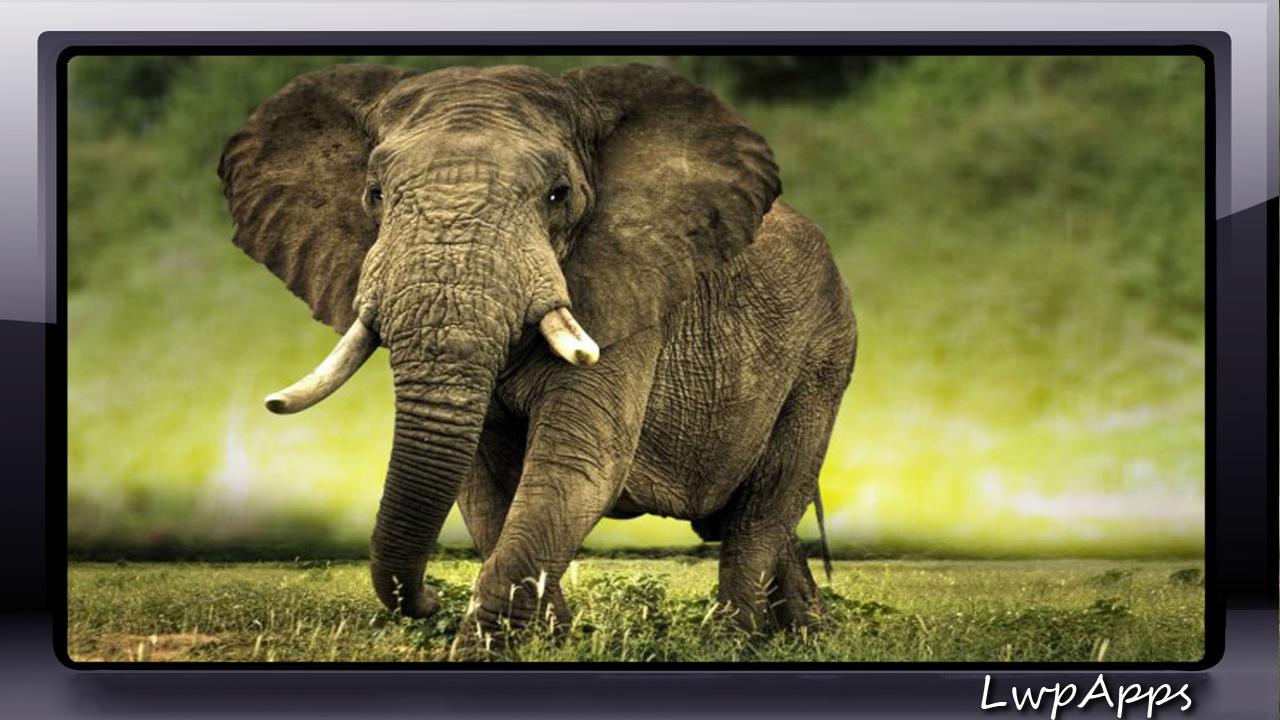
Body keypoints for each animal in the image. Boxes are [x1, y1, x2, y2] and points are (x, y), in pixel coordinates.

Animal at [218, 62, 857, 651]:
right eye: (374, 195)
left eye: (559, 195)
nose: (426, 601)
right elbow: (483, 486)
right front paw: (553, 640)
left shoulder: (628, 296)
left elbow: (575, 465)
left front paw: (487, 649)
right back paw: (804, 635)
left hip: (824, 356)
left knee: (763, 508)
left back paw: (732, 641)